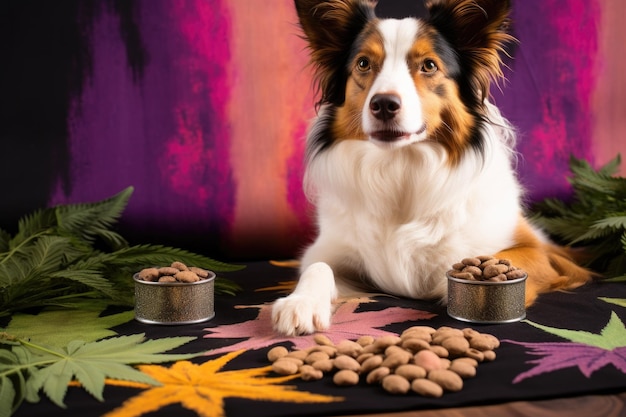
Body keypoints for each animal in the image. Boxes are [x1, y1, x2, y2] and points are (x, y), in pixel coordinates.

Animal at [270, 0, 588, 334]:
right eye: (363, 64)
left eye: (429, 66)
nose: (384, 104)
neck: (401, 168)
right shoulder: (328, 250)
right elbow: (318, 266)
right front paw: (300, 303)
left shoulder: (539, 251)